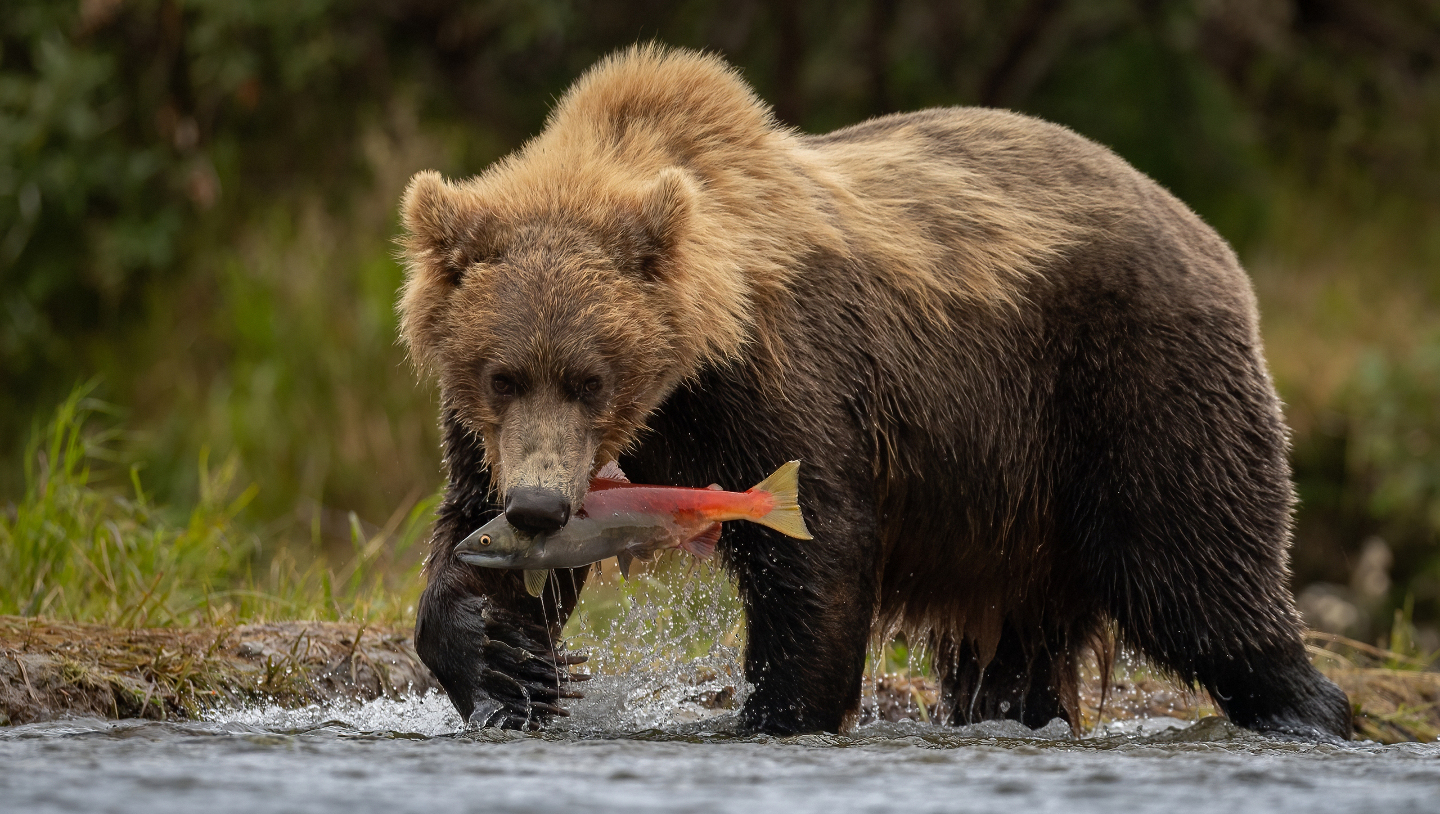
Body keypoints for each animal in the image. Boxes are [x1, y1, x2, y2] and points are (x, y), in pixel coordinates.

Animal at [398, 44, 1351, 740]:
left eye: (591, 377)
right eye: (502, 374)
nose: (537, 507)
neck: (682, 378)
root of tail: (1203, 230)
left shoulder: (783, 377)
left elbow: (817, 544)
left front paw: (779, 712)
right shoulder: (501, 437)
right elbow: (467, 532)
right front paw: (509, 664)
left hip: (1128, 386)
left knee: (1196, 570)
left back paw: (1309, 712)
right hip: (1013, 500)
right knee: (1018, 647)